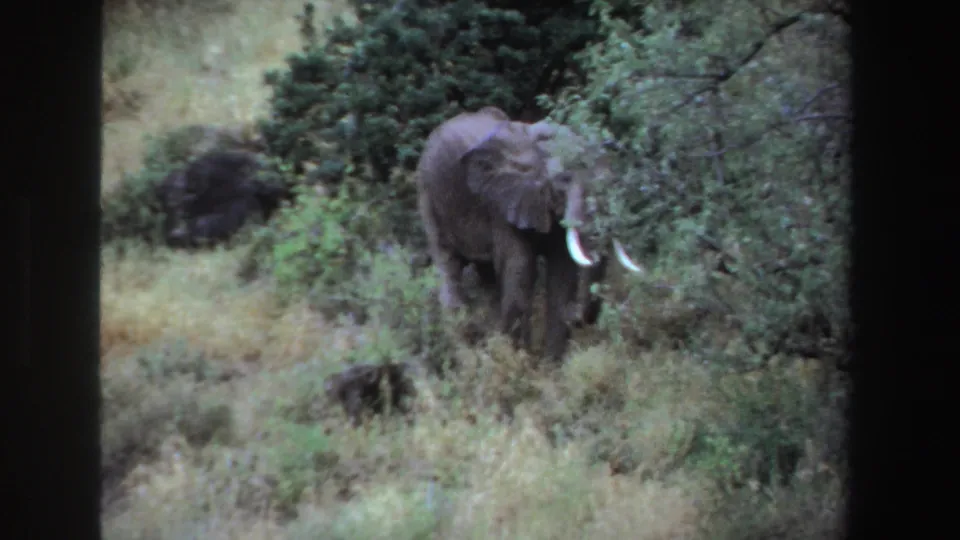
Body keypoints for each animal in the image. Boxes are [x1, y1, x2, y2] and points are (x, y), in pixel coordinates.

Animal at [415, 106, 643, 362]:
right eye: (565, 180)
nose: (575, 315)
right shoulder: (502, 202)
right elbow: (520, 267)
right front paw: (518, 361)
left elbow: (561, 272)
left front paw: (551, 366)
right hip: (428, 194)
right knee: (448, 263)